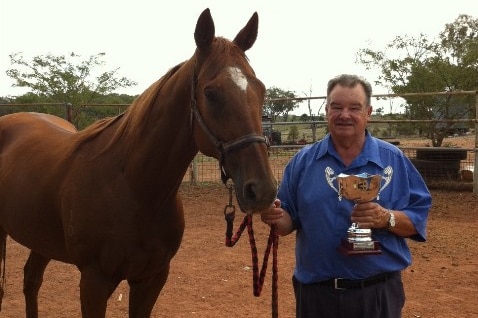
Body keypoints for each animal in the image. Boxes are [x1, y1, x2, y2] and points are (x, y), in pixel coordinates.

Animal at [0, 8, 276, 318]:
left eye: (260, 89)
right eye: (210, 93)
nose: (262, 189)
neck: (135, 188)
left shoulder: (152, 278)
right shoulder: (94, 280)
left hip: (40, 239)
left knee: (31, 280)